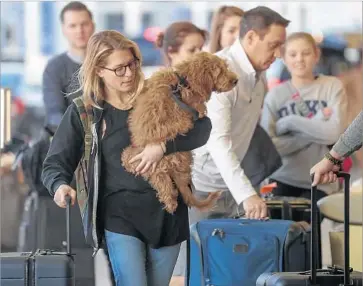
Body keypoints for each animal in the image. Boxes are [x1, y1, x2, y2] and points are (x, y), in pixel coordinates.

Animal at [122, 51, 239, 213]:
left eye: (225, 67)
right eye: (220, 71)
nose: (236, 80)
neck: (183, 81)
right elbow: (200, 109)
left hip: (130, 155)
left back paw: (170, 201)